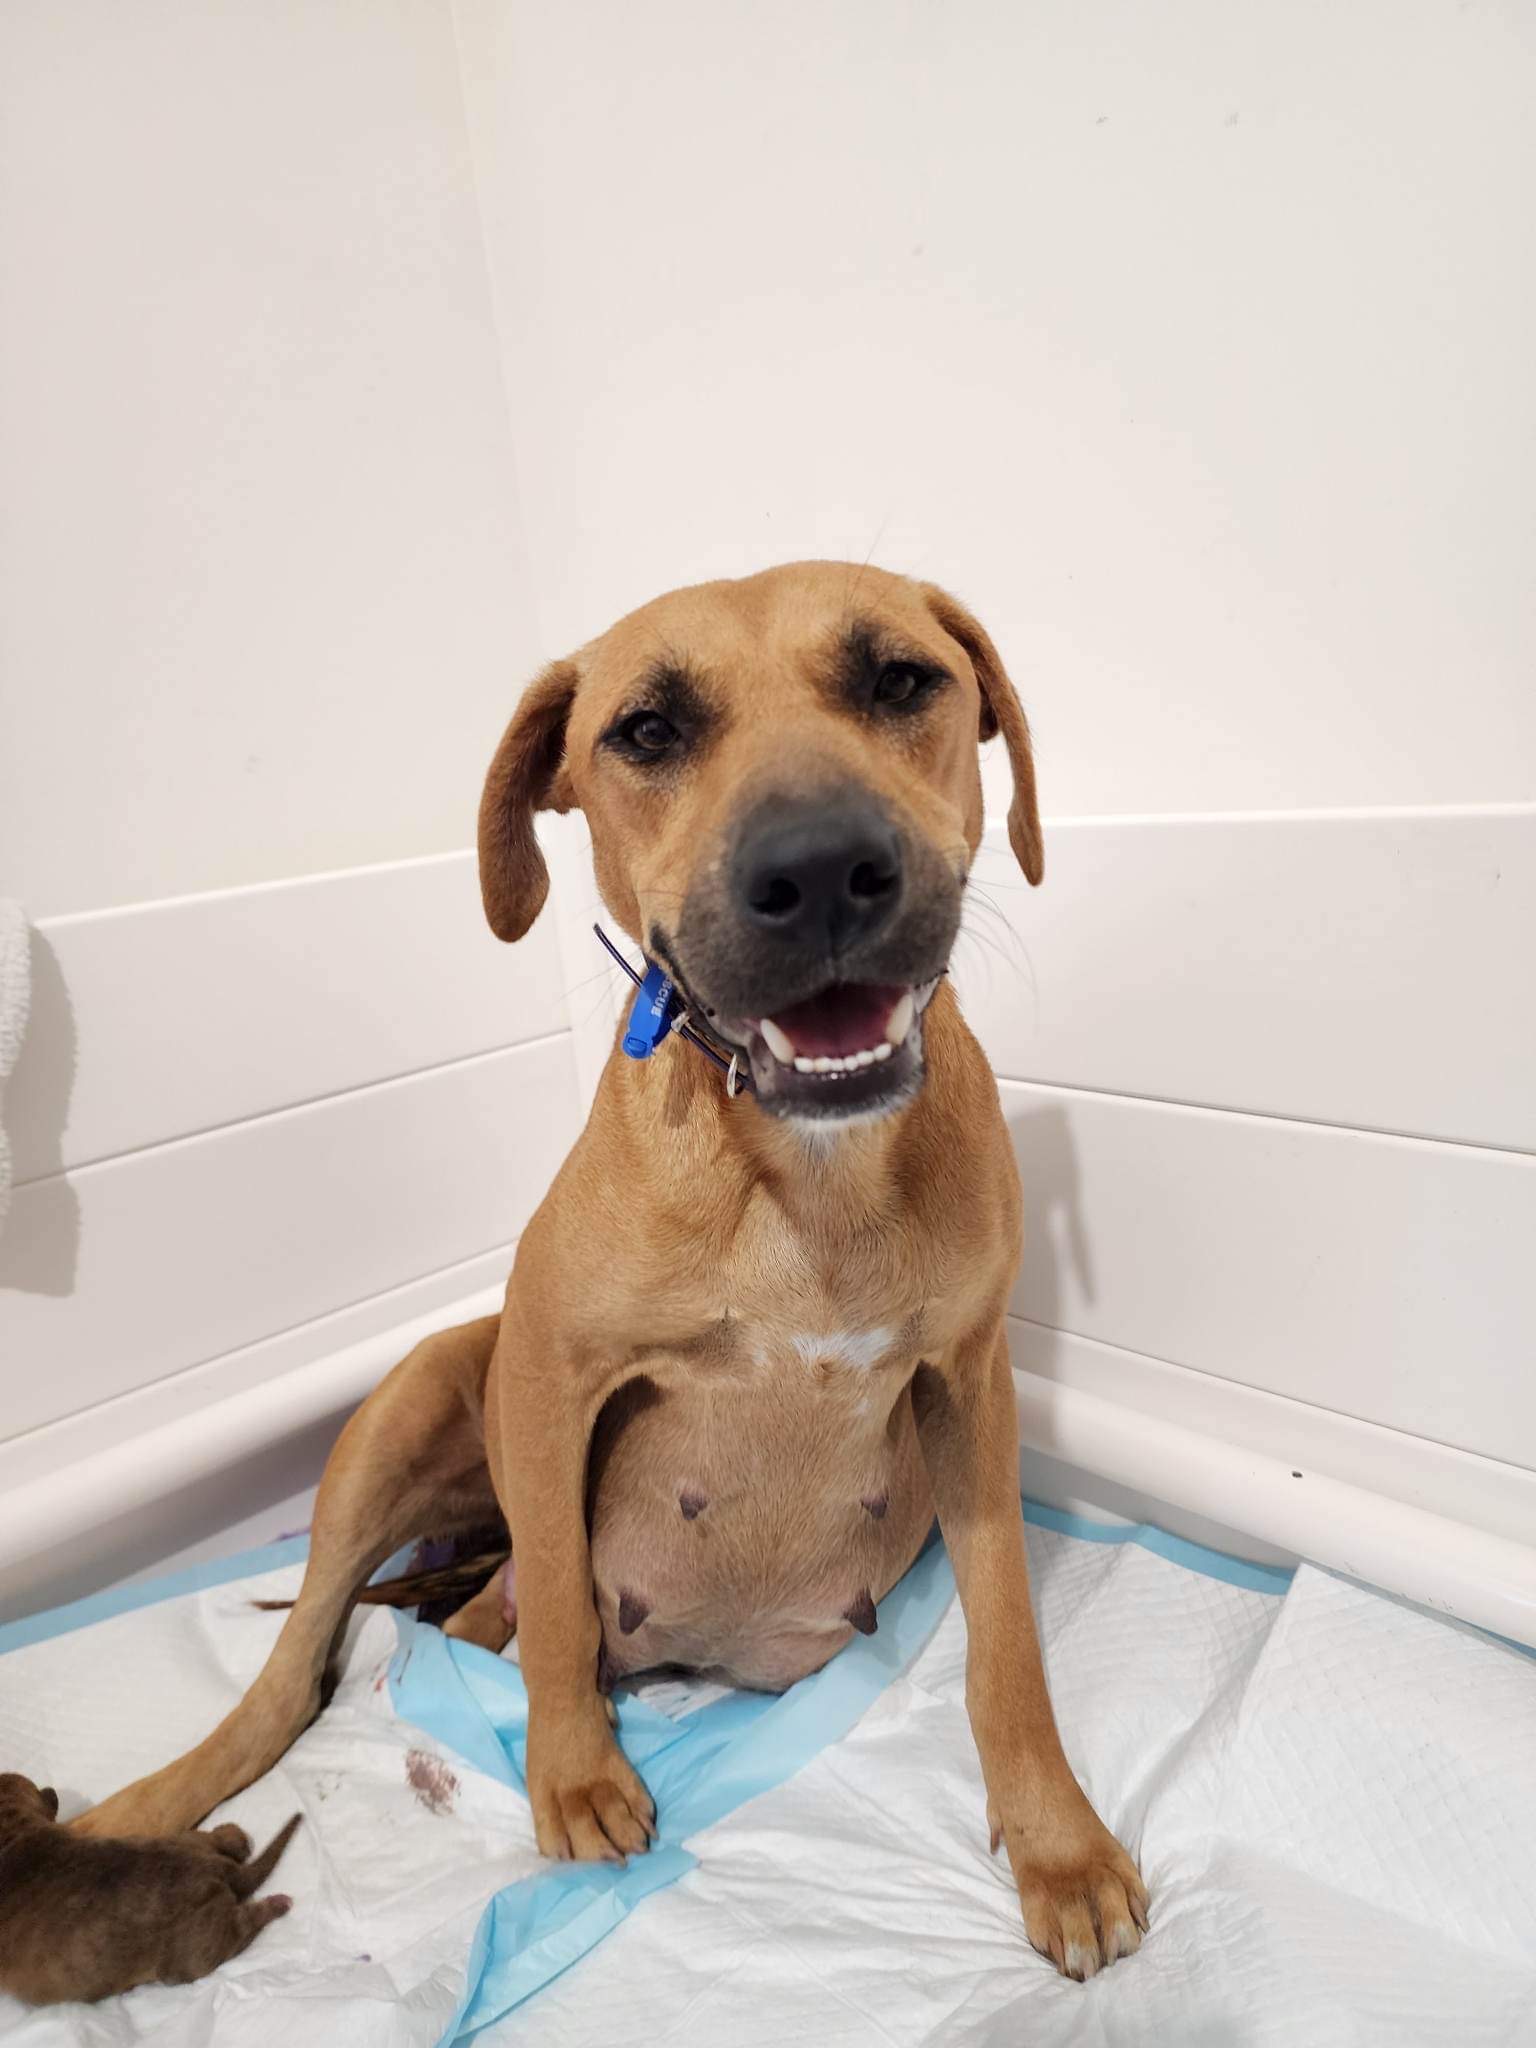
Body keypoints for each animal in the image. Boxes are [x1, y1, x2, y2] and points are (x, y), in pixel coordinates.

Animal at [0, 1773, 297, 2005]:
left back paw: (276, 1904)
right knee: (216, 1840)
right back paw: (233, 1834)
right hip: (185, 1839)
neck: (15, 1834)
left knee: (242, 1926)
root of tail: (213, 1868)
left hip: (193, 1952)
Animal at [71, 562, 1147, 1979]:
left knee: (451, 1625)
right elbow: (567, 1615)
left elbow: (1008, 1642)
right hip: (412, 1400)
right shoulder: (548, 1375)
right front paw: (575, 1774)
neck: (803, 1172)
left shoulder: (971, 1383)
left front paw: (1057, 1844)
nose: (819, 869)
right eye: (646, 730)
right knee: (317, 1656)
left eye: (900, 678)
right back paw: (156, 1798)